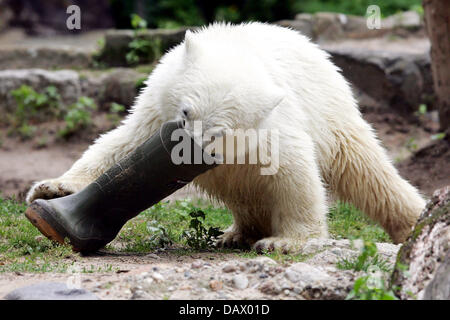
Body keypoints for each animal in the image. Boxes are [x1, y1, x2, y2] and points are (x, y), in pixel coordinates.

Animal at [26, 23, 428, 251]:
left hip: (332, 113)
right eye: (186, 112)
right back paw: (237, 233)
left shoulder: (273, 127)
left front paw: (287, 242)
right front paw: (52, 190)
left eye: (219, 131)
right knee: (244, 191)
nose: (184, 149)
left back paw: (412, 223)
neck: (238, 55)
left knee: (368, 171)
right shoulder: (156, 109)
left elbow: (294, 175)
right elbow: (119, 146)